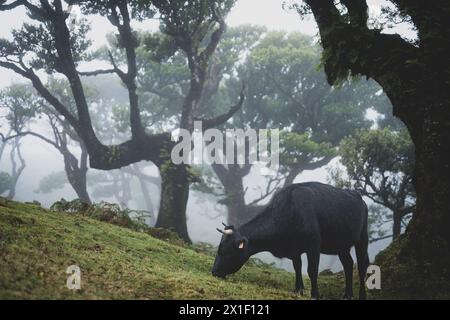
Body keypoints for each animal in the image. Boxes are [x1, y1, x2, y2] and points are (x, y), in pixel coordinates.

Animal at [211, 182, 370, 300]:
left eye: (224, 251)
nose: (214, 272)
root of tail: (359, 198)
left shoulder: (313, 245)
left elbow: (312, 270)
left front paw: (314, 294)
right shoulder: (294, 249)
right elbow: (297, 267)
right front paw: (298, 289)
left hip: (362, 239)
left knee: (362, 267)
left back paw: (361, 295)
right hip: (342, 245)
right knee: (348, 264)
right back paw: (347, 294)